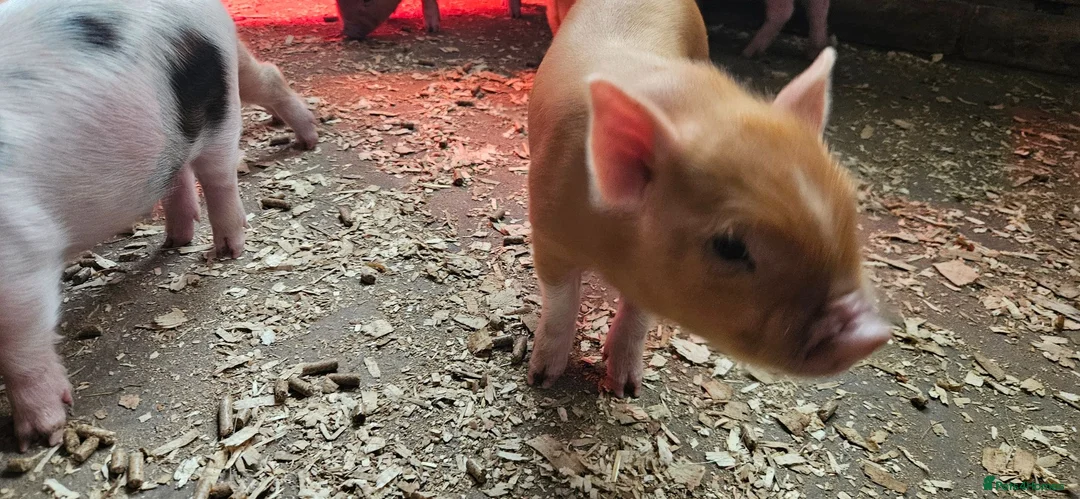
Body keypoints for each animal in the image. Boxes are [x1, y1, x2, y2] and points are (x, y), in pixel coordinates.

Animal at [0, 0, 318, 450]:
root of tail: (214, 13)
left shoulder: (19, 253)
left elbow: (19, 347)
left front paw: (42, 435)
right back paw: (176, 239)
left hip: (214, 108)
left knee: (219, 175)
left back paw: (230, 245)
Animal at [526, 0, 891, 398]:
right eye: (730, 246)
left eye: (848, 209)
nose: (873, 333)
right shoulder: (547, 227)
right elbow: (560, 303)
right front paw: (540, 378)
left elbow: (638, 315)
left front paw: (627, 388)